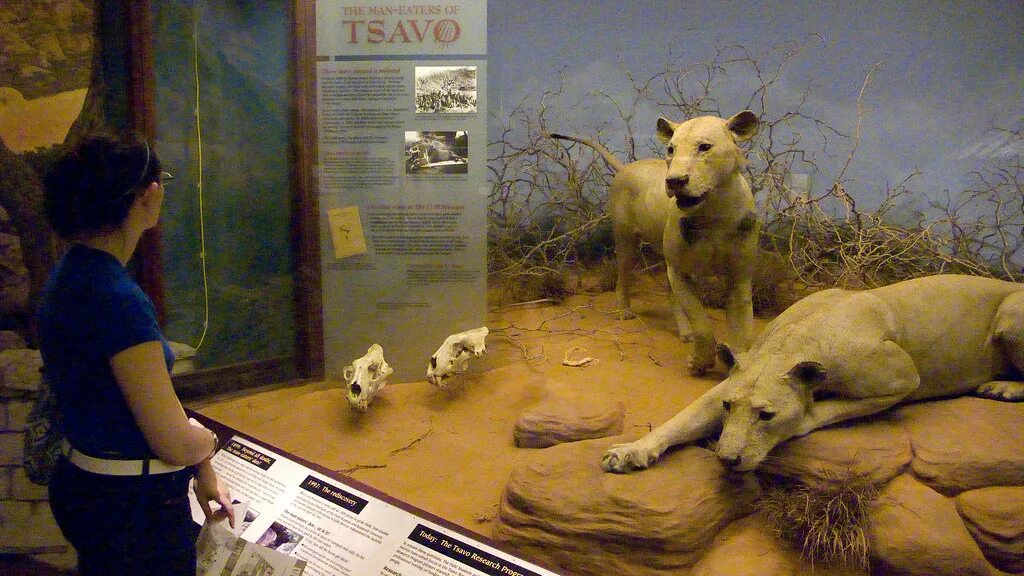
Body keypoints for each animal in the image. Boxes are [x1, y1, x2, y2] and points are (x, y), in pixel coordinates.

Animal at [552, 110, 761, 375]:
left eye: (704, 147)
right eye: (671, 149)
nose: (674, 181)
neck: (714, 211)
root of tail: (626, 166)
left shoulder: (740, 276)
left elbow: (743, 330)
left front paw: (738, 364)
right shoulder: (680, 269)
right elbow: (702, 324)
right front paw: (699, 363)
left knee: (671, 296)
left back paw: (685, 333)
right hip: (627, 241)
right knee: (623, 277)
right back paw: (625, 312)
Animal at [602, 272, 1024, 471]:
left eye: (766, 416)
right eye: (728, 408)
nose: (727, 460)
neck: (791, 345)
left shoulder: (903, 378)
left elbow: (824, 410)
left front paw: (801, 419)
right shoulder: (725, 385)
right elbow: (680, 421)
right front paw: (630, 452)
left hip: (1010, 314)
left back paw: (1002, 387)